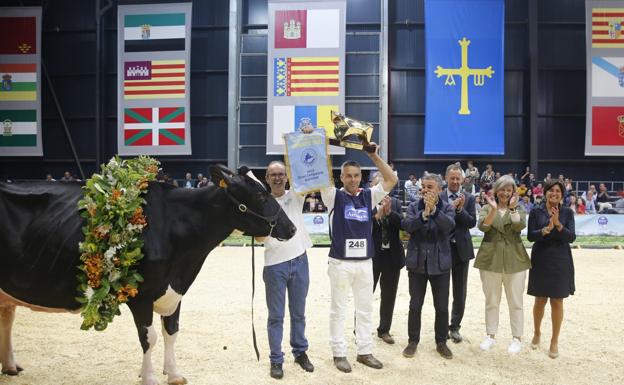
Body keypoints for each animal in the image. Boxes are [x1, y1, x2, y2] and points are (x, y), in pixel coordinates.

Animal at [0, 165, 296, 384]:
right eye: (260, 196)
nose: (292, 228)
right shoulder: (139, 295)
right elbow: (149, 338)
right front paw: (150, 377)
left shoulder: (175, 291)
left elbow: (171, 332)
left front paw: (174, 374)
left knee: (6, 319)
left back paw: (11, 366)